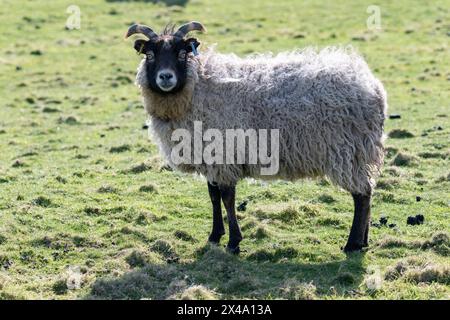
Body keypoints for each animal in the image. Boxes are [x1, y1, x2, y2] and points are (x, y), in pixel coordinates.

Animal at [125, 21, 386, 254]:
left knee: (362, 196)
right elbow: (213, 196)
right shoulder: (210, 157)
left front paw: (233, 242)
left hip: (349, 152)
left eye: (181, 53)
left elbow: (227, 198)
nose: (165, 77)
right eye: (149, 55)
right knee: (367, 194)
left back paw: (352, 244)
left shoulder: (223, 155)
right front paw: (215, 236)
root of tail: (372, 86)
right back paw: (363, 241)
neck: (197, 87)